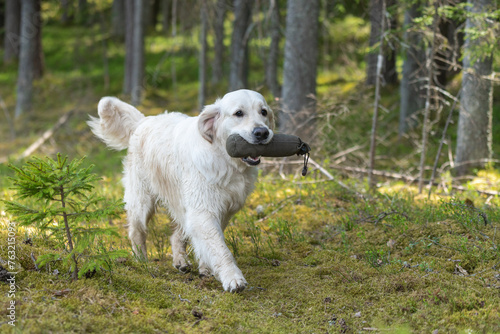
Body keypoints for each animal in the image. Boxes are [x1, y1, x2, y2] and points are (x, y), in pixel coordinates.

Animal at [91, 90, 278, 290]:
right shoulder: (203, 210)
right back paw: (141, 260)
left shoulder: (223, 209)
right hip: (142, 202)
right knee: (137, 232)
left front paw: (206, 269)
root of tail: (144, 120)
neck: (224, 159)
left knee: (177, 235)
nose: (262, 132)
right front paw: (233, 277)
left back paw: (181, 261)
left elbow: (209, 244)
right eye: (239, 113)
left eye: (263, 112)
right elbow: (220, 248)